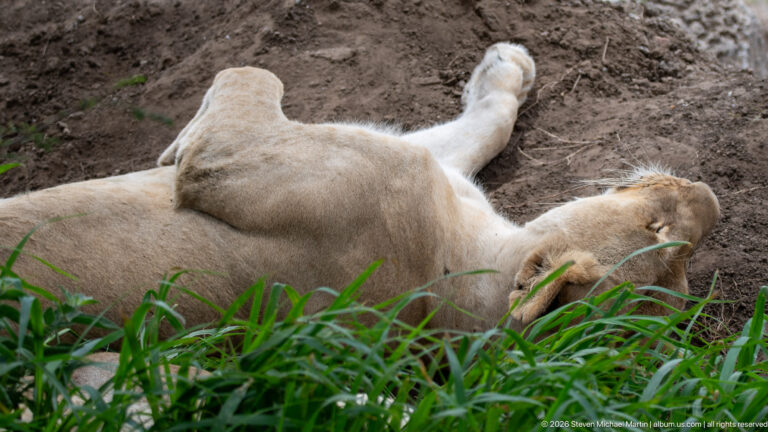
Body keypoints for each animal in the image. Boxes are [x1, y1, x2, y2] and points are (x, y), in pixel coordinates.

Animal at [0, 43, 719, 336]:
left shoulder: (233, 158)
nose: (711, 198)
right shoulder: (429, 167)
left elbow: (249, 75)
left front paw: (172, 146)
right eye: (664, 236)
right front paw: (509, 67)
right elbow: (486, 124)